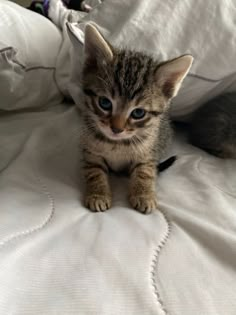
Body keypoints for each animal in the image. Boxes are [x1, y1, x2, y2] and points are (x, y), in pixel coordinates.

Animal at [77, 24, 192, 212]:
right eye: (104, 103)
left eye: (138, 113)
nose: (116, 129)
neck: (116, 143)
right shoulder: (90, 150)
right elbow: (94, 170)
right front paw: (98, 194)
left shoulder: (148, 152)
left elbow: (145, 171)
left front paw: (144, 195)